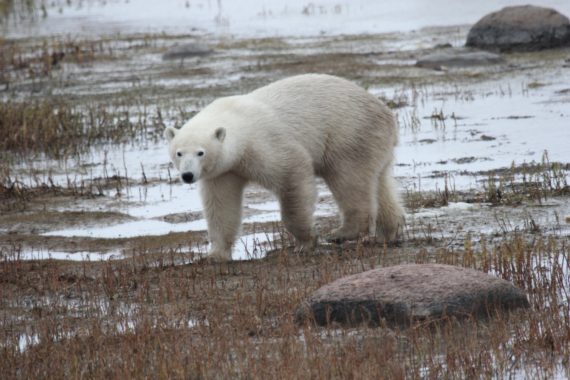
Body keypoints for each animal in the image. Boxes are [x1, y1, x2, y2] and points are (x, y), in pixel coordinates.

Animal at [164, 72, 404, 260]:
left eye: (200, 152)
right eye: (179, 152)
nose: (187, 175)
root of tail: (386, 114)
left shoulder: (263, 144)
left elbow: (292, 174)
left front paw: (305, 242)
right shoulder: (223, 171)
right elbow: (221, 205)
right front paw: (215, 254)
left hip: (348, 134)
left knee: (349, 179)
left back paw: (343, 232)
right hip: (372, 142)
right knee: (379, 181)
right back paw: (388, 232)